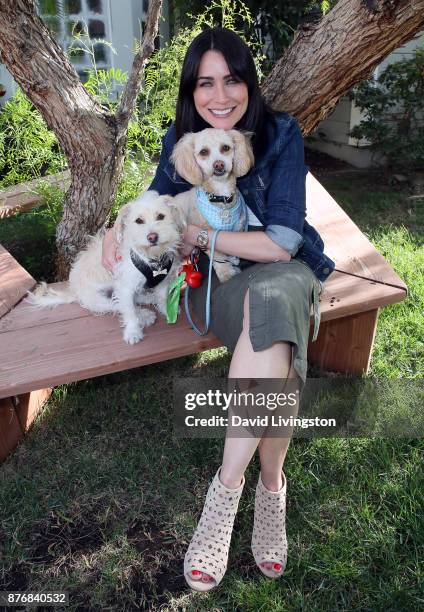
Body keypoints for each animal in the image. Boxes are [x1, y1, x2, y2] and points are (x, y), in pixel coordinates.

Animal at [27, 191, 185, 344]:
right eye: (139, 221)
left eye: (161, 216)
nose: (152, 237)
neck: (153, 259)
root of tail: (74, 290)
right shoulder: (125, 287)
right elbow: (129, 311)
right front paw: (133, 332)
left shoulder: (164, 280)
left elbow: (162, 297)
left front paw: (167, 309)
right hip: (99, 301)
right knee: (119, 305)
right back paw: (144, 315)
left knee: (134, 299)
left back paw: (149, 298)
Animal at [171, 130, 253, 284]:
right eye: (204, 152)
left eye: (226, 148)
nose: (218, 164)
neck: (221, 197)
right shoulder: (210, 237)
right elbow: (219, 258)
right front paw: (227, 274)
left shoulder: (237, 229)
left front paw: (234, 262)